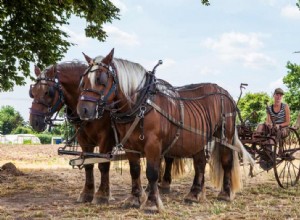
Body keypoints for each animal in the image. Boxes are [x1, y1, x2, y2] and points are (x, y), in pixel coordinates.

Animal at [77, 49, 253, 212]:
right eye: (83, 81)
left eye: (101, 79)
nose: (83, 110)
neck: (141, 103)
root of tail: (226, 93)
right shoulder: (129, 146)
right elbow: (135, 171)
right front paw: (135, 199)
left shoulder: (153, 144)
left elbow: (152, 173)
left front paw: (152, 203)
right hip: (198, 138)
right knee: (200, 163)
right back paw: (194, 194)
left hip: (225, 137)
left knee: (226, 161)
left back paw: (225, 193)